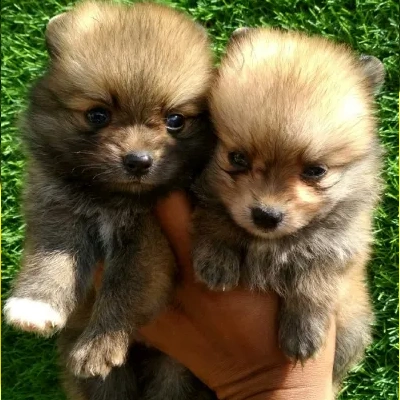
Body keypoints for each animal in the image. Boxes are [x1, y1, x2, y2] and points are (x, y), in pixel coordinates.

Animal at [3, 1, 216, 398]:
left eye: (175, 120)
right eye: (97, 114)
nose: (138, 161)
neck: (111, 199)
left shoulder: (150, 241)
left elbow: (124, 285)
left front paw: (98, 344)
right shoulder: (59, 209)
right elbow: (52, 259)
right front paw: (34, 306)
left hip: (174, 372)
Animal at [194, 28, 384, 394]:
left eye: (315, 171)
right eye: (236, 158)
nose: (266, 215)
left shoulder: (341, 246)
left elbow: (315, 281)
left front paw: (303, 333)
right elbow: (215, 213)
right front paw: (216, 260)